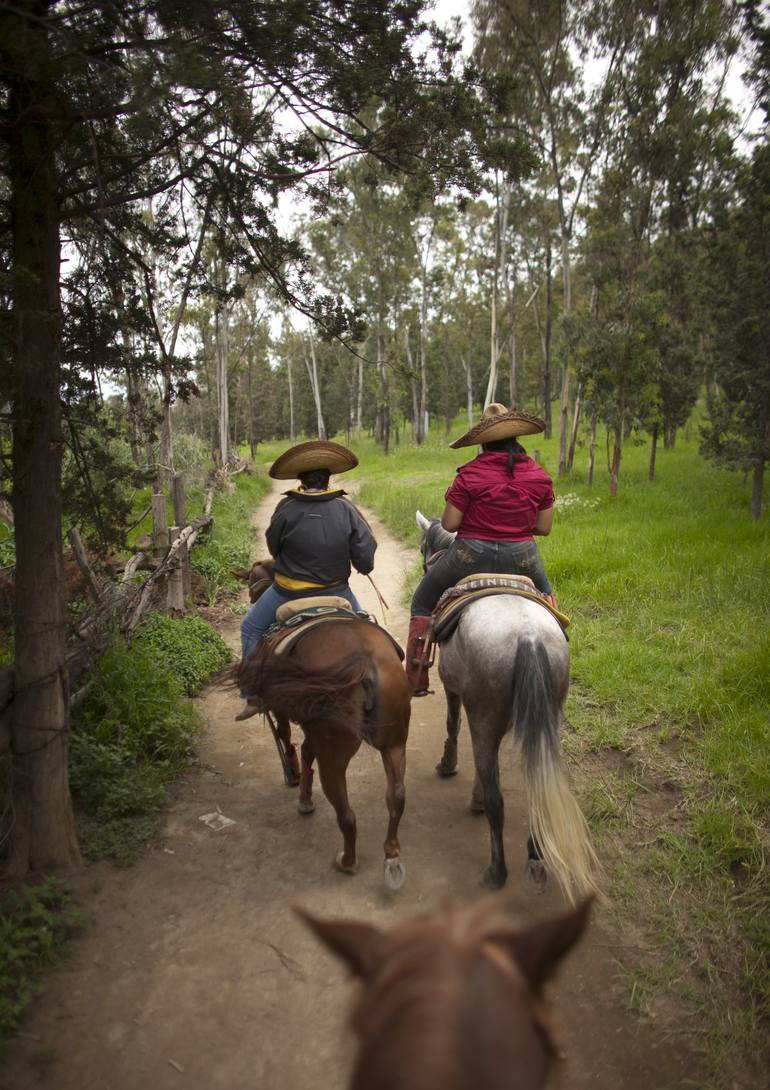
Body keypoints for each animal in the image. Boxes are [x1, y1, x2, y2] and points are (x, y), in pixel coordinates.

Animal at [238, 579, 410, 885]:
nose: (250, 595)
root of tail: (364, 663)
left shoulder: (283, 710)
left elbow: (287, 738)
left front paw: (296, 781)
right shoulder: (312, 728)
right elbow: (307, 750)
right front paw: (303, 792)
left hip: (334, 753)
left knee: (346, 814)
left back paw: (347, 861)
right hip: (394, 741)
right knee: (397, 796)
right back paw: (391, 853)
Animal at [414, 510, 602, 902]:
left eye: (423, 546)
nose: (424, 564)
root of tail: (528, 636)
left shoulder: (457, 691)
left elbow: (454, 726)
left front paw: (448, 766)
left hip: (486, 719)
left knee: (497, 800)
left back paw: (496, 871)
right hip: (550, 717)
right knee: (539, 788)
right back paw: (535, 857)